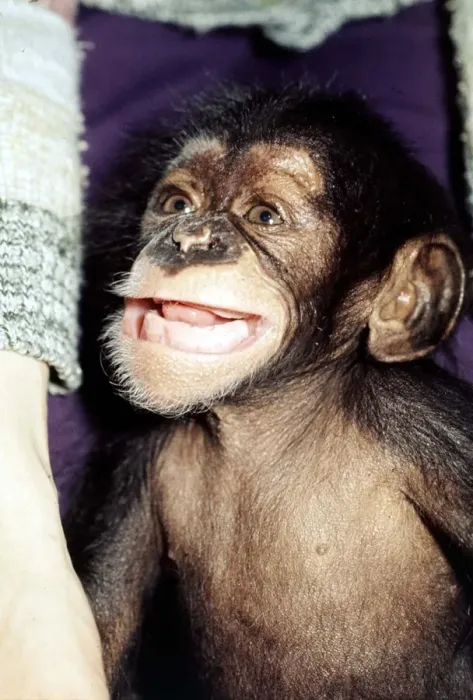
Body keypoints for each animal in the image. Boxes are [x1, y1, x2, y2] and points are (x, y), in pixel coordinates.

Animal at [66, 86, 473, 700]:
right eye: (177, 204)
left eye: (264, 216)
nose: (188, 238)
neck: (264, 420)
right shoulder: (132, 462)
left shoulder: (436, 433)